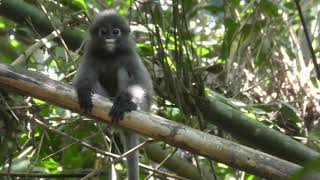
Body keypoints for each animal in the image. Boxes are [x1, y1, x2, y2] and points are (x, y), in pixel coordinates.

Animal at [73, 9, 153, 180]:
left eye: (116, 32)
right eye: (104, 31)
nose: (109, 37)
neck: (110, 54)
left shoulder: (131, 57)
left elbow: (142, 86)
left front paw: (126, 102)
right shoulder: (90, 56)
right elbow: (80, 81)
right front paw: (84, 92)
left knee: (123, 71)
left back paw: (125, 104)